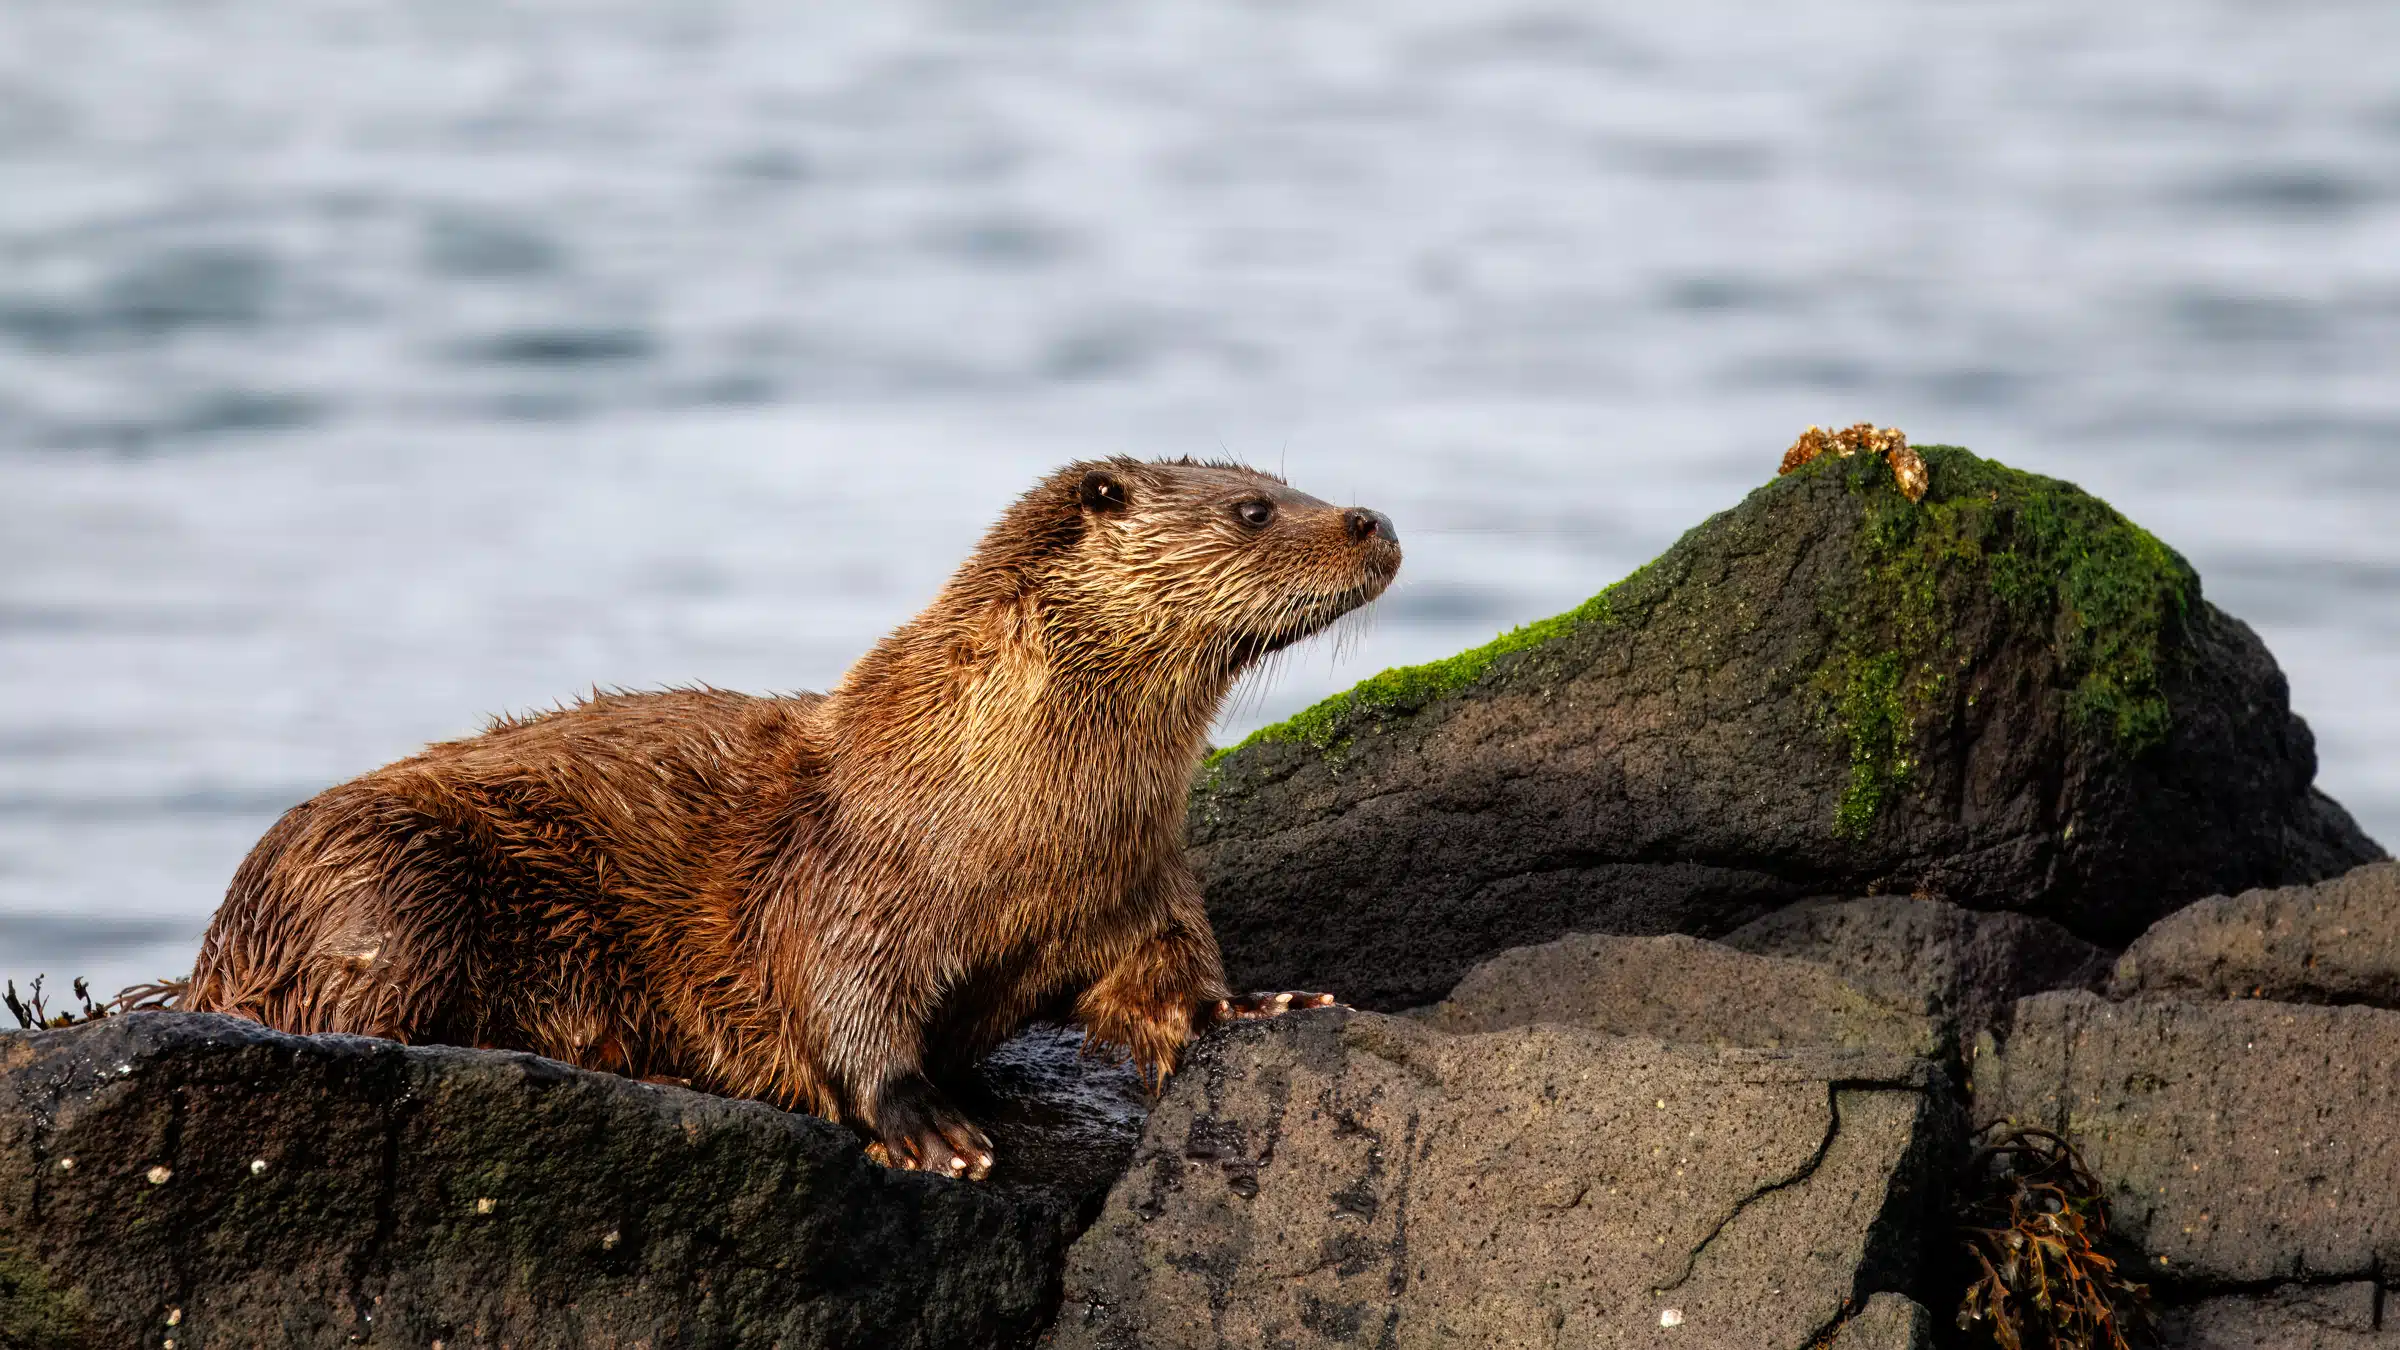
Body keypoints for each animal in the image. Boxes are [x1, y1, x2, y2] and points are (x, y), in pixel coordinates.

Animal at [188, 458, 1400, 1178]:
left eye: (1280, 478)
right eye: (1252, 509)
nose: (1372, 517)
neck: (1013, 815)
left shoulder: (1142, 885)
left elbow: (1169, 983)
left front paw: (1258, 1004)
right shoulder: (848, 881)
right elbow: (838, 1004)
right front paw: (929, 1127)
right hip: (382, 879)